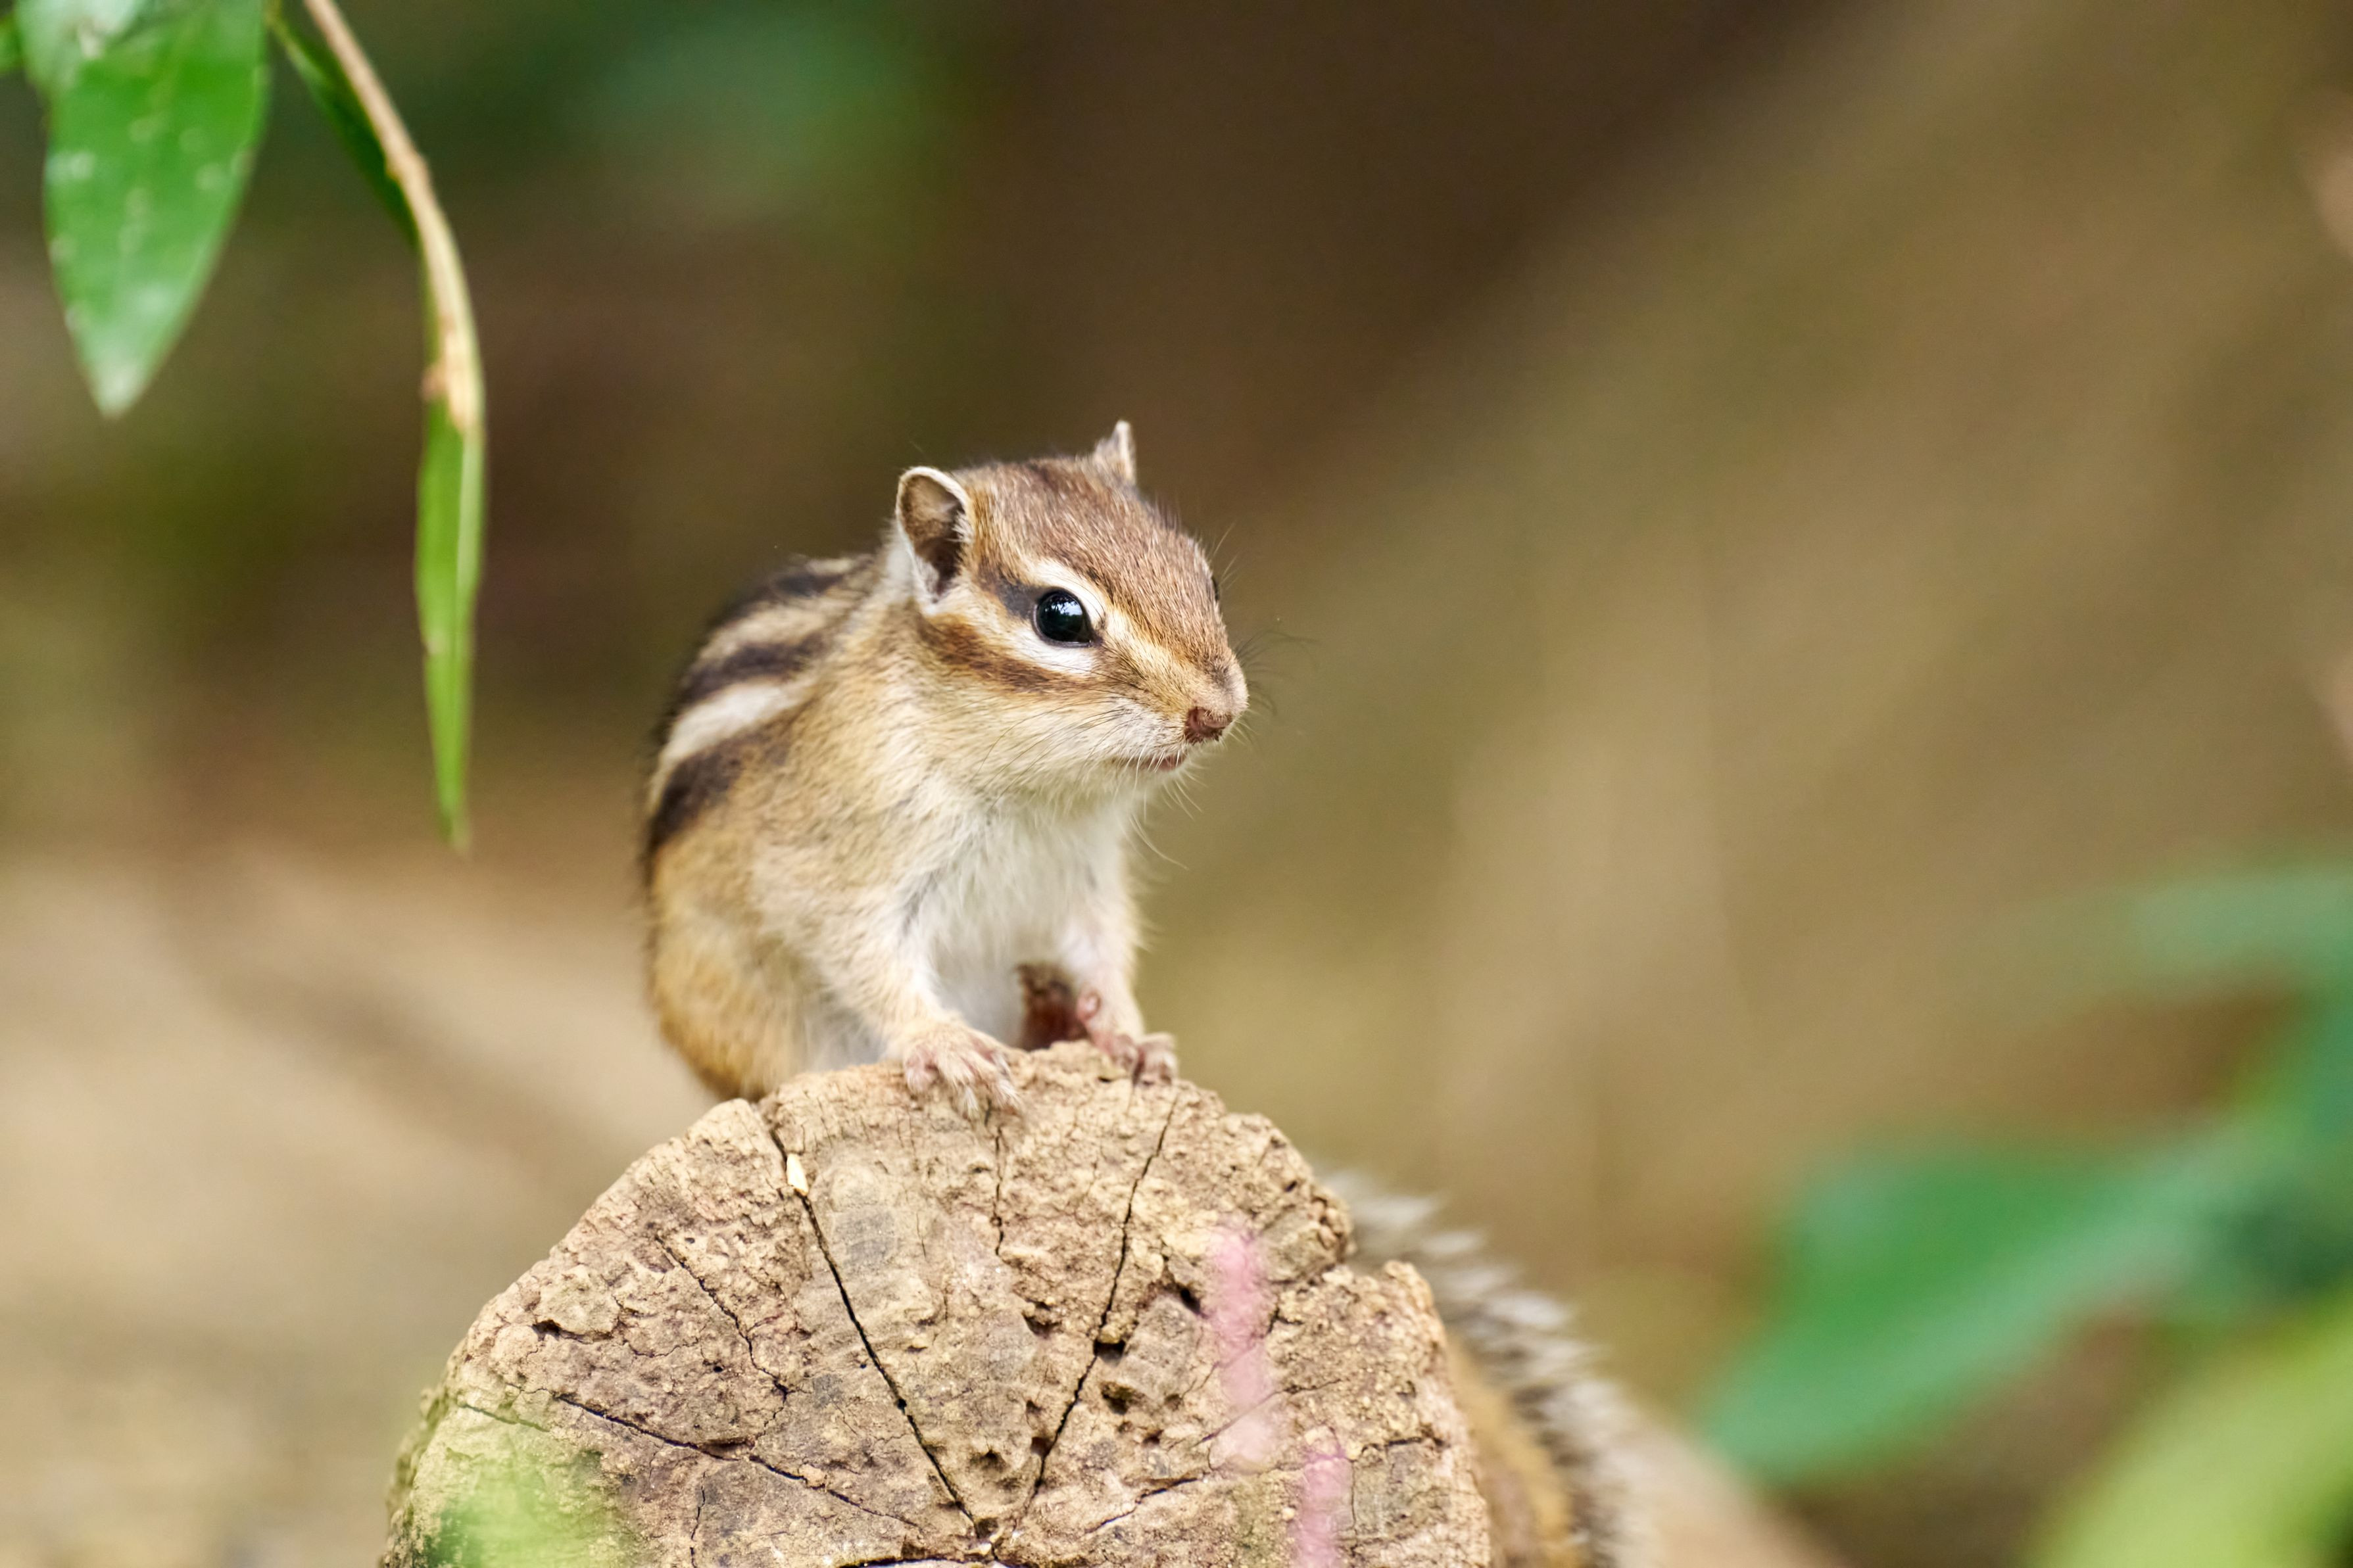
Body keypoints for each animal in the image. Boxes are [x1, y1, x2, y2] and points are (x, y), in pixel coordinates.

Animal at [641, 423, 1244, 1114]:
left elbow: (1104, 947)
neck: (1031, 791)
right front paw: (945, 1043)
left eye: (1207, 580)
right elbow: (868, 960)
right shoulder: (833, 869)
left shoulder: (1086, 875)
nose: (1217, 713)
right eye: (1060, 615)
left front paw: (1128, 1032)